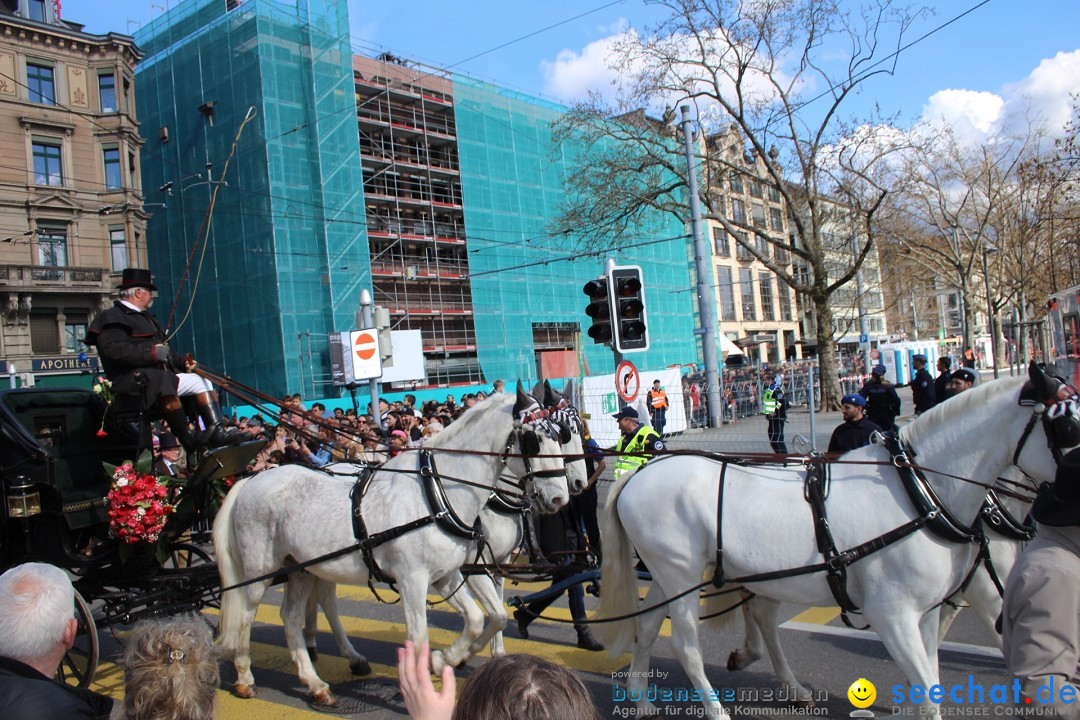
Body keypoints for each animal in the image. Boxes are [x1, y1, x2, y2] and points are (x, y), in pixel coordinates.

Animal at [217, 386, 574, 708]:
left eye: (561, 435)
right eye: (535, 440)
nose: (560, 498)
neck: (437, 492)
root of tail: (250, 480)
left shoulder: (447, 574)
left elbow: (482, 619)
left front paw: (444, 660)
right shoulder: (413, 579)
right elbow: (419, 637)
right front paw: (424, 682)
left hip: (301, 567)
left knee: (291, 616)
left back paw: (316, 683)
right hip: (261, 567)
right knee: (247, 612)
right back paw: (245, 677)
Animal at [596, 367, 1075, 720]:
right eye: (1067, 424)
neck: (918, 491)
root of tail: (639, 473)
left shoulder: (931, 609)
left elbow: (933, 682)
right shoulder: (893, 614)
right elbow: (930, 688)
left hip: (670, 575)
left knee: (649, 628)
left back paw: (642, 699)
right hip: (681, 574)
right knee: (687, 646)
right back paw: (716, 710)